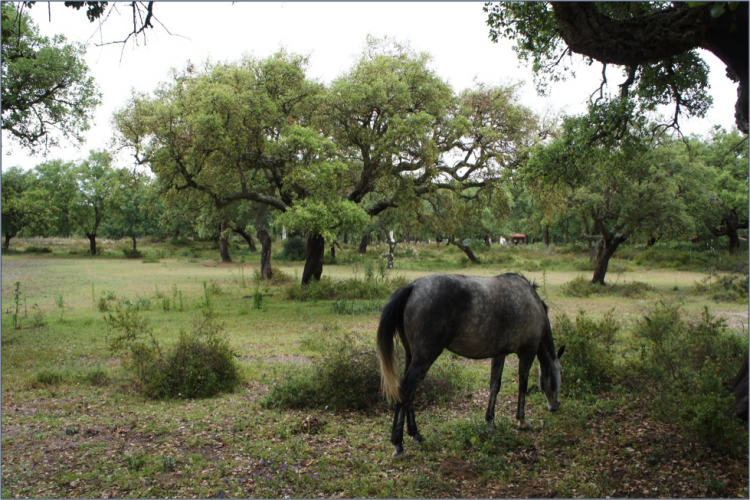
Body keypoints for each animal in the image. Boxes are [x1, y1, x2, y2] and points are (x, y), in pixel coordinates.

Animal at [378, 274, 568, 458]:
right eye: (560, 372)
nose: (555, 405)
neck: (532, 303)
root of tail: (413, 287)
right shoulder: (527, 352)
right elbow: (522, 387)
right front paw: (522, 421)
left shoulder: (499, 353)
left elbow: (495, 385)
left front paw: (491, 422)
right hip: (424, 357)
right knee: (407, 390)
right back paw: (398, 444)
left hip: (412, 355)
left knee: (409, 394)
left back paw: (415, 434)